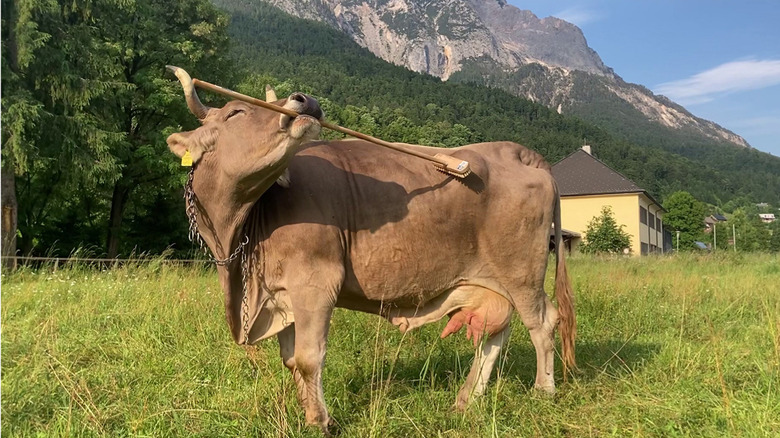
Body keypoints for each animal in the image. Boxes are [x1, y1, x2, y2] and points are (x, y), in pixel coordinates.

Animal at [166, 68, 575, 435]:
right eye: (235, 113)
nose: (305, 100)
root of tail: (517, 151)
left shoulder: (315, 283)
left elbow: (309, 358)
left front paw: (321, 422)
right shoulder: (281, 294)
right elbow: (291, 360)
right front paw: (309, 413)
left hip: (521, 271)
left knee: (542, 322)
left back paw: (543, 390)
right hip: (492, 280)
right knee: (497, 331)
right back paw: (467, 399)